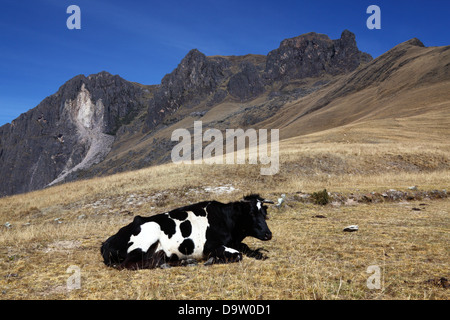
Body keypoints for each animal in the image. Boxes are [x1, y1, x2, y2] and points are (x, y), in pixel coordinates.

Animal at [100, 194, 272, 268]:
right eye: (251, 214)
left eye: (264, 213)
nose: (268, 234)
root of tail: (106, 242)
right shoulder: (210, 246)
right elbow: (238, 254)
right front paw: (212, 260)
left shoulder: (235, 242)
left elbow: (246, 248)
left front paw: (260, 254)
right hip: (148, 234)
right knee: (130, 264)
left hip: (158, 251)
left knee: (156, 260)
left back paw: (185, 262)